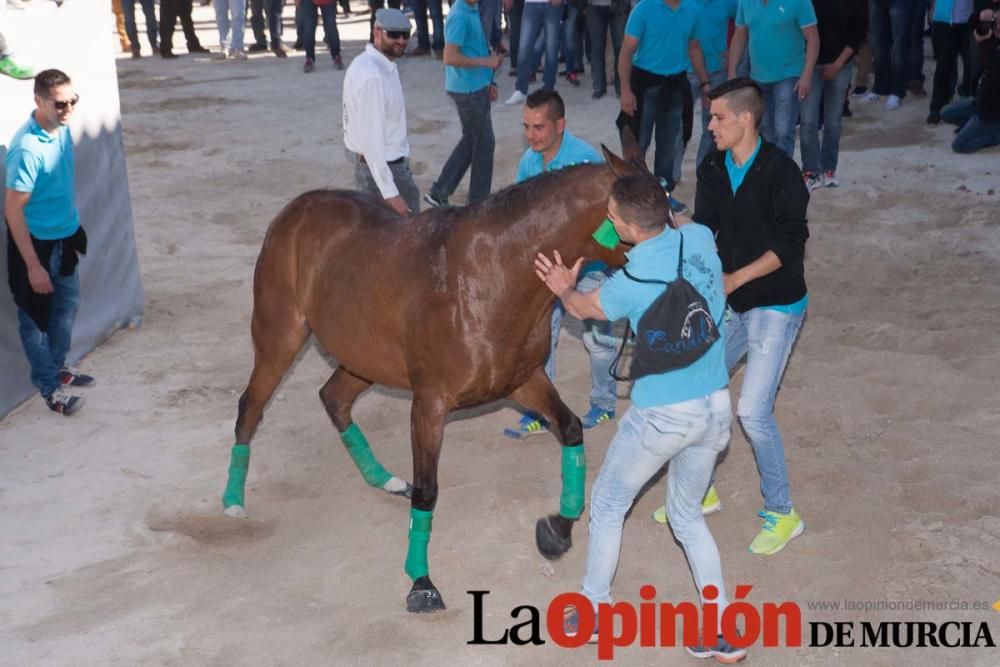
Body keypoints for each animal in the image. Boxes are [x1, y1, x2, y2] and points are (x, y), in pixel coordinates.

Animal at [224, 138, 644, 612]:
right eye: (656, 215)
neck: (490, 275)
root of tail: (296, 209)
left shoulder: (522, 381)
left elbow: (571, 430)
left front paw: (556, 530)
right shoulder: (428, 405)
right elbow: (428, 490)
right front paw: (420, 582)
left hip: (364, 357)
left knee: (334, 398)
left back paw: (383, 478)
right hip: (281, 339)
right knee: (251, 406)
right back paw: (233, 500)